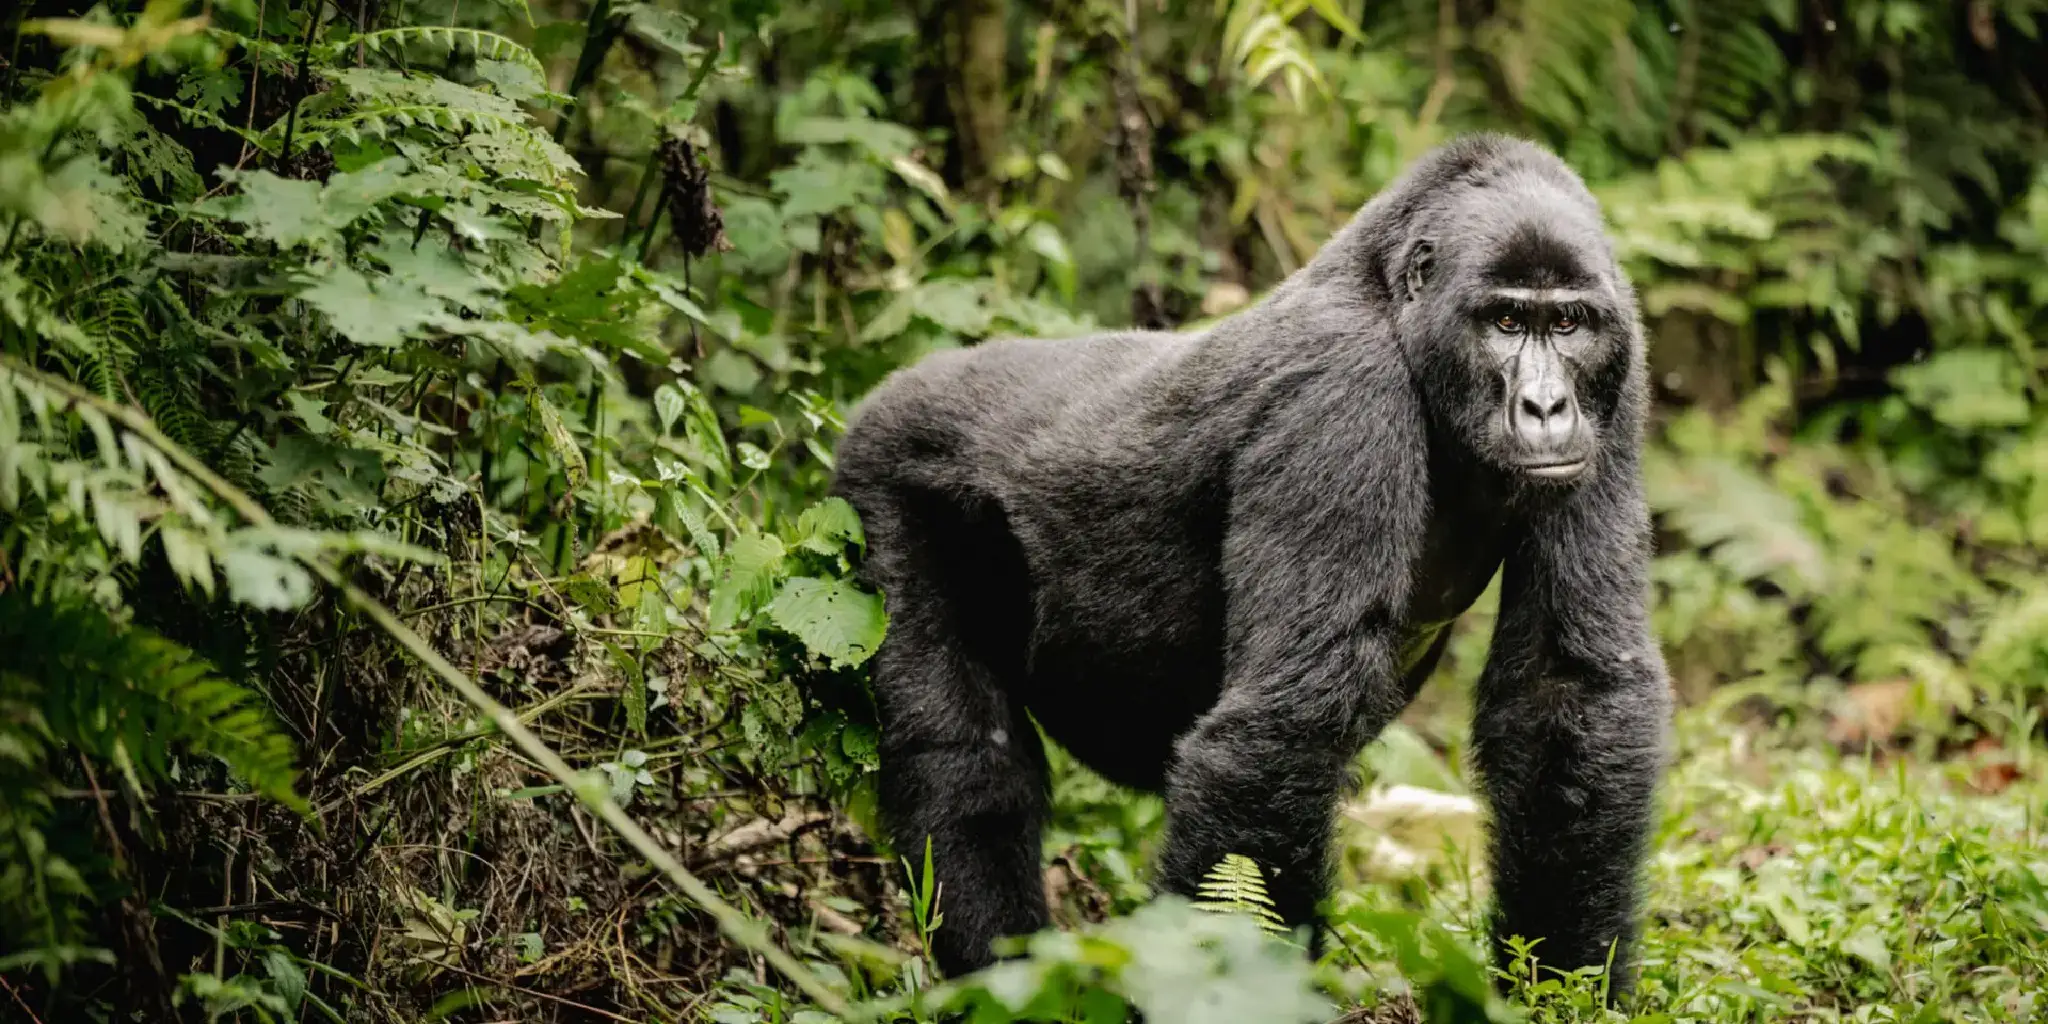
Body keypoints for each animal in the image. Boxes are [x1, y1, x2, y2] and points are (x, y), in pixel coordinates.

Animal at [830, 133, 1672, 998]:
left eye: (1568, 324)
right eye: (1506, 320)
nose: (1546, 406)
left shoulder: (1620, 379)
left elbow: (1566, 690)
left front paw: (1564, 987)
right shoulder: (1340, 394)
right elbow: (1287, 724)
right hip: (883, 475)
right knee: (962, 757)